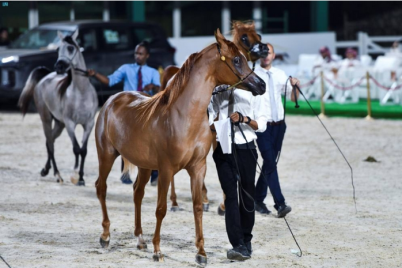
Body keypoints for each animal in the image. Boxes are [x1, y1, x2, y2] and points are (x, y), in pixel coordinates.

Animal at [18, 30, 98, 186]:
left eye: (71, 48)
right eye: (57, 49)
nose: (59, 67)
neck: (81, 92)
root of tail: (45, 77)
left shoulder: (88, 124)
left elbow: (84, 150)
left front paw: (81, 178)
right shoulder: (70, 124)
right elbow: (76, 149)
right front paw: (74, 176)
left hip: (59, 124)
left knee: (50, 141)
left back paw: (45, 170)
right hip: (46, 119)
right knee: (50, 143)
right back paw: (57, 175)